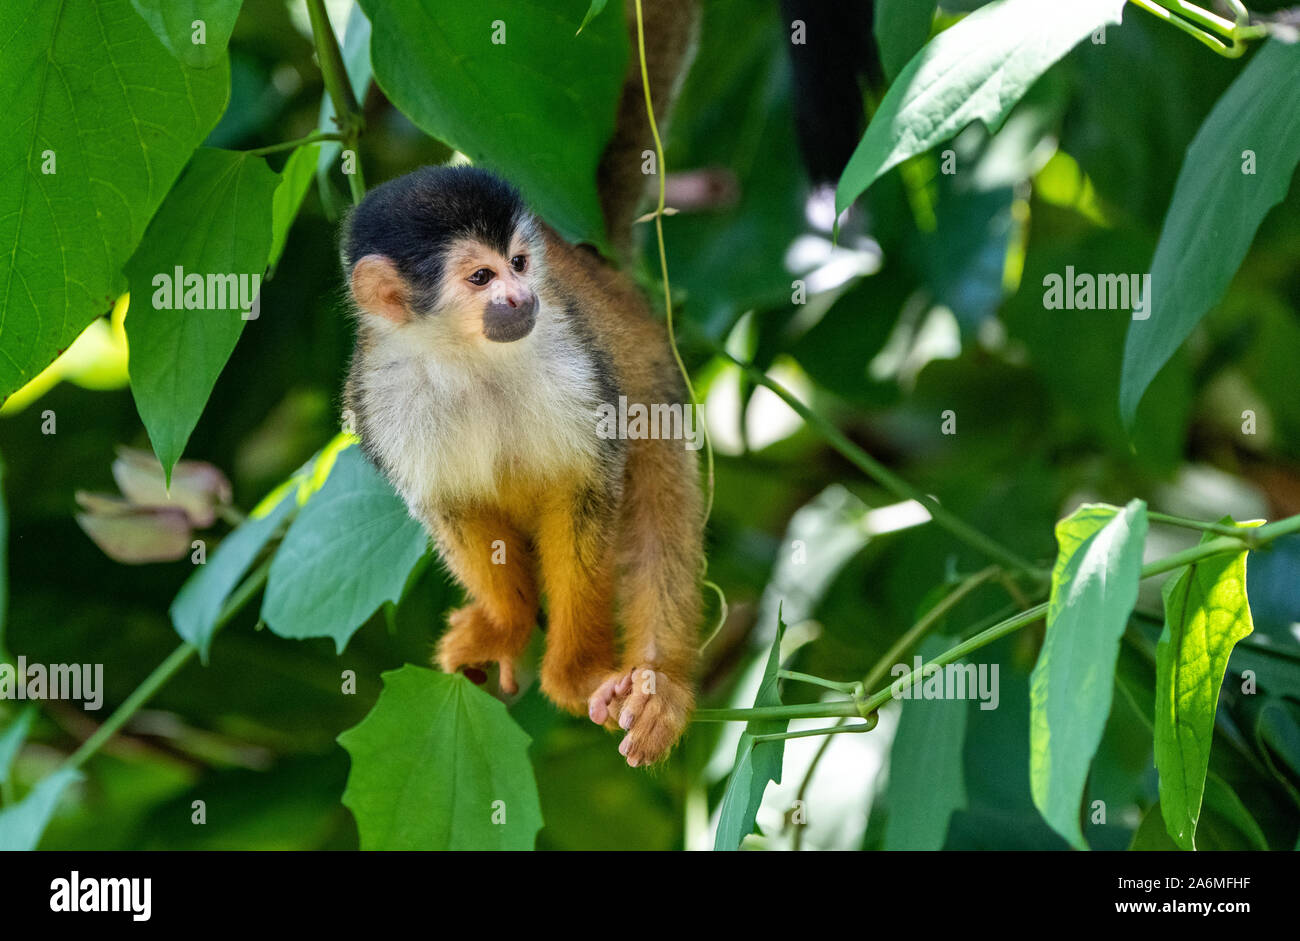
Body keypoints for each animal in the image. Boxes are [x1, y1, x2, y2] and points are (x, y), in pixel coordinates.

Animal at [340, 1, 696, 764]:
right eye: (481, 276)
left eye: (521, 263)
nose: (521, 296)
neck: (467, 359)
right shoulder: (381, 399)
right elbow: (453, 507)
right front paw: (504, 623)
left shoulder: (573, 361)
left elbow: (585, 492)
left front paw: (577, 672)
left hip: (652, 372)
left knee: (659, 490)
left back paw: (661, 684)